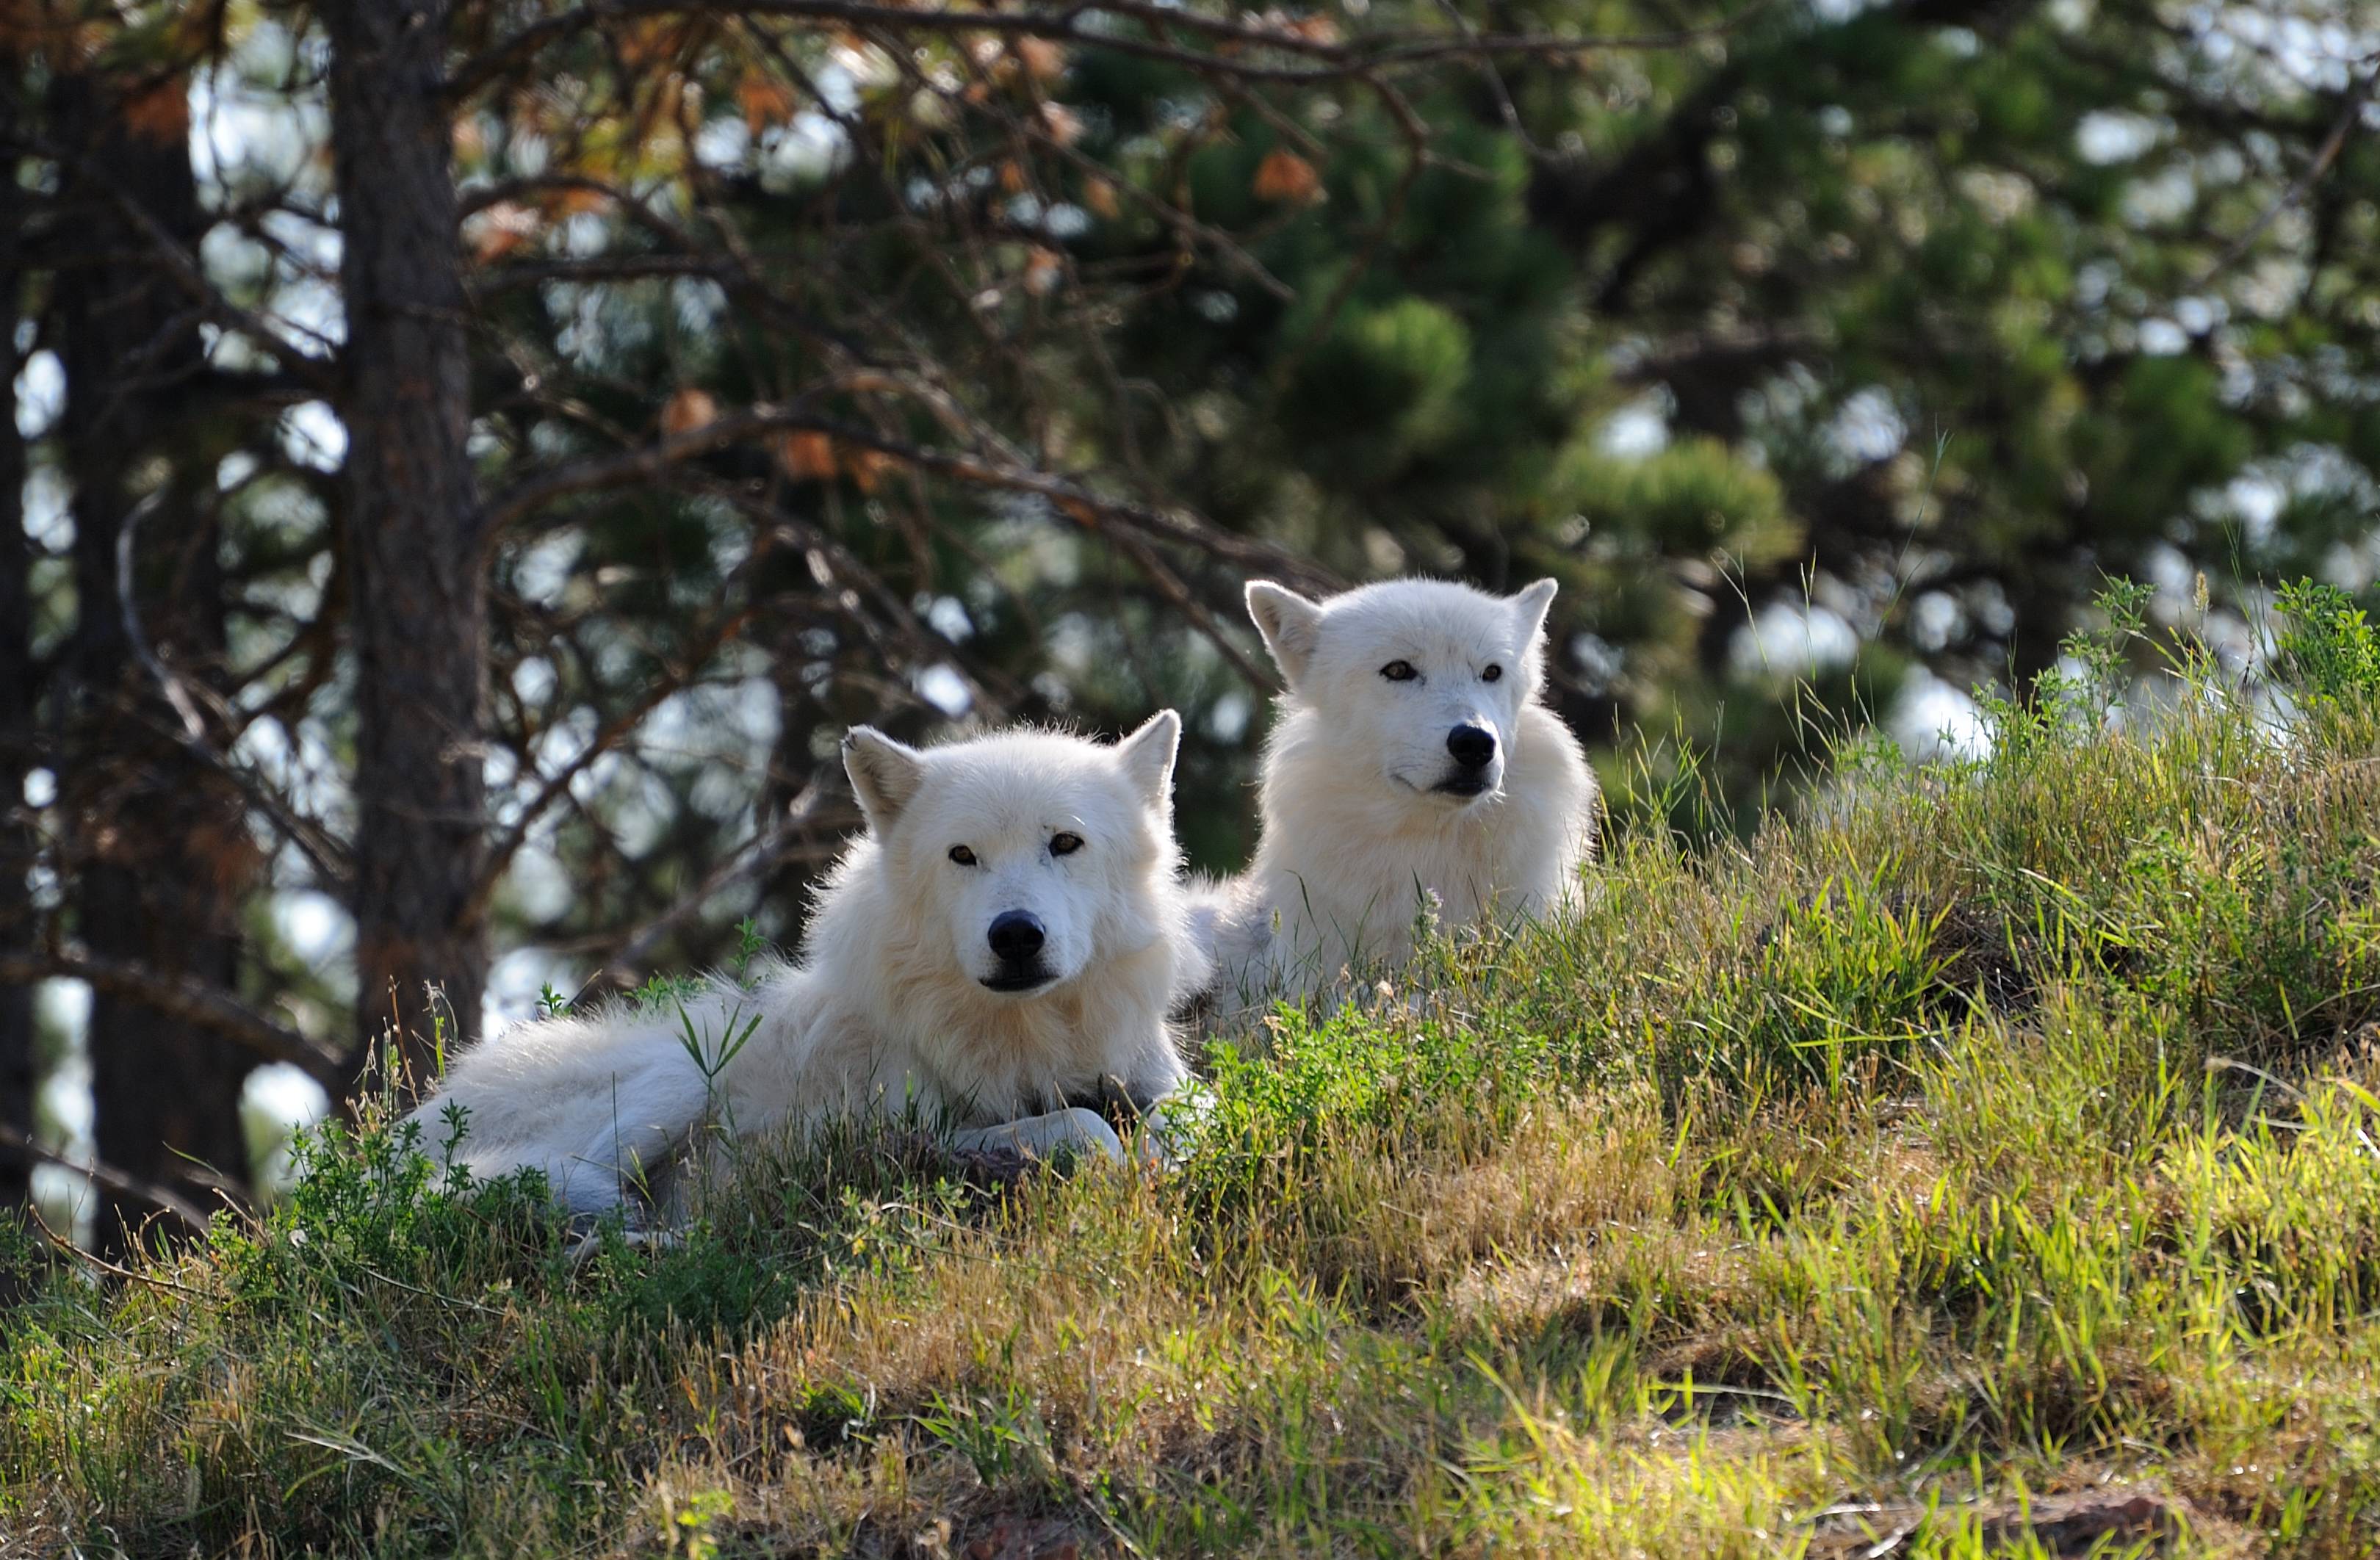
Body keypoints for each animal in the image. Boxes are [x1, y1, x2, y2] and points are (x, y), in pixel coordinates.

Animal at [402, 713, 1208, 1213]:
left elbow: (1190, 1109)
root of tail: (398, 1143)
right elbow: (1089, 1129)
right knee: (580, 1183)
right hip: (678, 1073)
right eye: (963, 856)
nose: (1015, 936)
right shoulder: (905, 1133)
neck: (1030, 1035)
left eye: (1065, 843)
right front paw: (1127, 1162)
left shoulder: (1152, 1076)